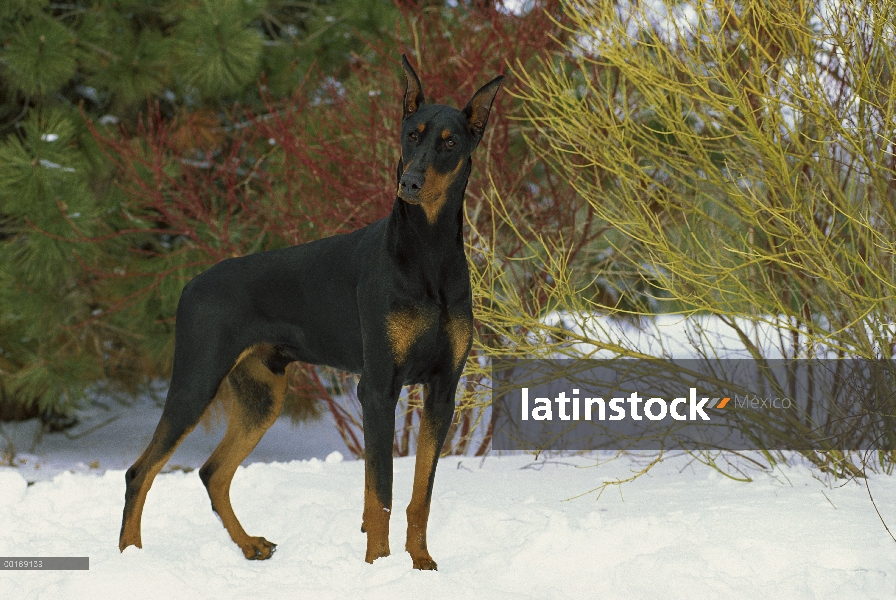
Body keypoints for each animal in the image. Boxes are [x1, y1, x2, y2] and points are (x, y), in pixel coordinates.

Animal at [117, 57, 504, 572]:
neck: (428, 254)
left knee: (212, 473)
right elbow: (380, 494)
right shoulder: (377, 388)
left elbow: (420, 494)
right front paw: (378, 566)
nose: (410, 183)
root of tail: (191, 284)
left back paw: (249, 545)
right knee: (140, 471)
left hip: (262, 395)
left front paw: (421, 563)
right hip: (196, 382)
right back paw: (129, 558)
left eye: (450, 143)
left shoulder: (443, 389)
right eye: (411, 135)